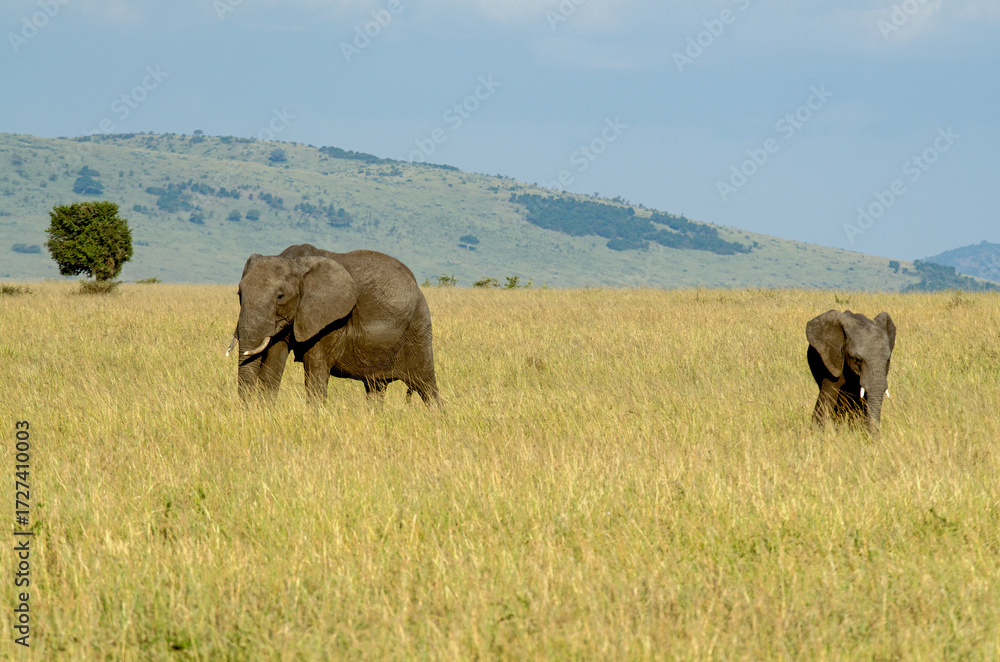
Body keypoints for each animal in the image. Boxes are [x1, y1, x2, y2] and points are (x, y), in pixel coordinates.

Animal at [227, 243, 439, 404]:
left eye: (280, 296)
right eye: (239, 294)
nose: (247, 410)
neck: (296, 263)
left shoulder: (330, 320)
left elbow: (316, 370)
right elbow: (272, 365)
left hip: (417, 327)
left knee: (426, 385)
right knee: (375, 387)